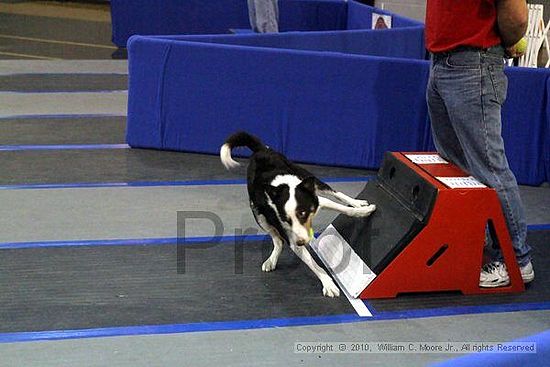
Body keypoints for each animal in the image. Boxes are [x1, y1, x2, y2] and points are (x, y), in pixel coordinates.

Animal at [222, 133, 378, 300]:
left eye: (302, 213)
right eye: (285, 219)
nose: (301, 242)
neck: (285, 187)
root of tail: (260, 150)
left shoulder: (317, 201)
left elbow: (345, 209)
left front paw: (363, 211)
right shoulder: (289, 234)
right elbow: (313, 264)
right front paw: (328, 284)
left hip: (308, 178)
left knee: (336, 192)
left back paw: (357, 203)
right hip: (259, 215)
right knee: (277, 241)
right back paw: (271, 260)